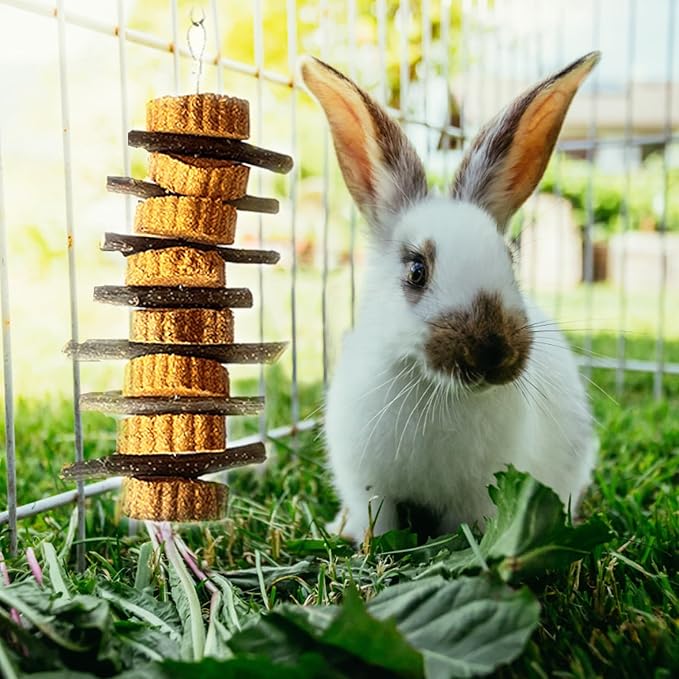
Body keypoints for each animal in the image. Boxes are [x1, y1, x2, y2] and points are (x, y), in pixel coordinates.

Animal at [300, 52, 601, 541]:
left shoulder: (479, 495)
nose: (493, 353)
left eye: (511, 260)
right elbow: (377, 522)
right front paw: (363, 541)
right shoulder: (368, 487)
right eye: (416, 270)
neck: (435, 391)